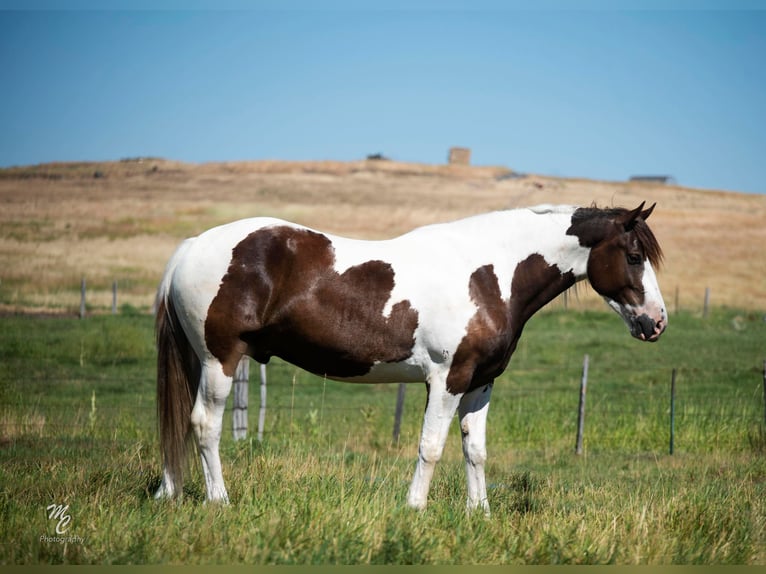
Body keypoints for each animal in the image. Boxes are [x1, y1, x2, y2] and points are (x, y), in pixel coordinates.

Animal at [154, 204, 664, 516]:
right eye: (634, 255)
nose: (656, 323)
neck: (489, 275)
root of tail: (192, 246)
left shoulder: (481, 383)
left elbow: (475, 449)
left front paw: (479, 514)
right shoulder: (447, 379)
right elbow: (431, 446)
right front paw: (415, 508)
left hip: (200, 362)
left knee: (179, 426)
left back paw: (169, 492)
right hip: (219, 360)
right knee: (204, 425)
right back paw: (219, 500)